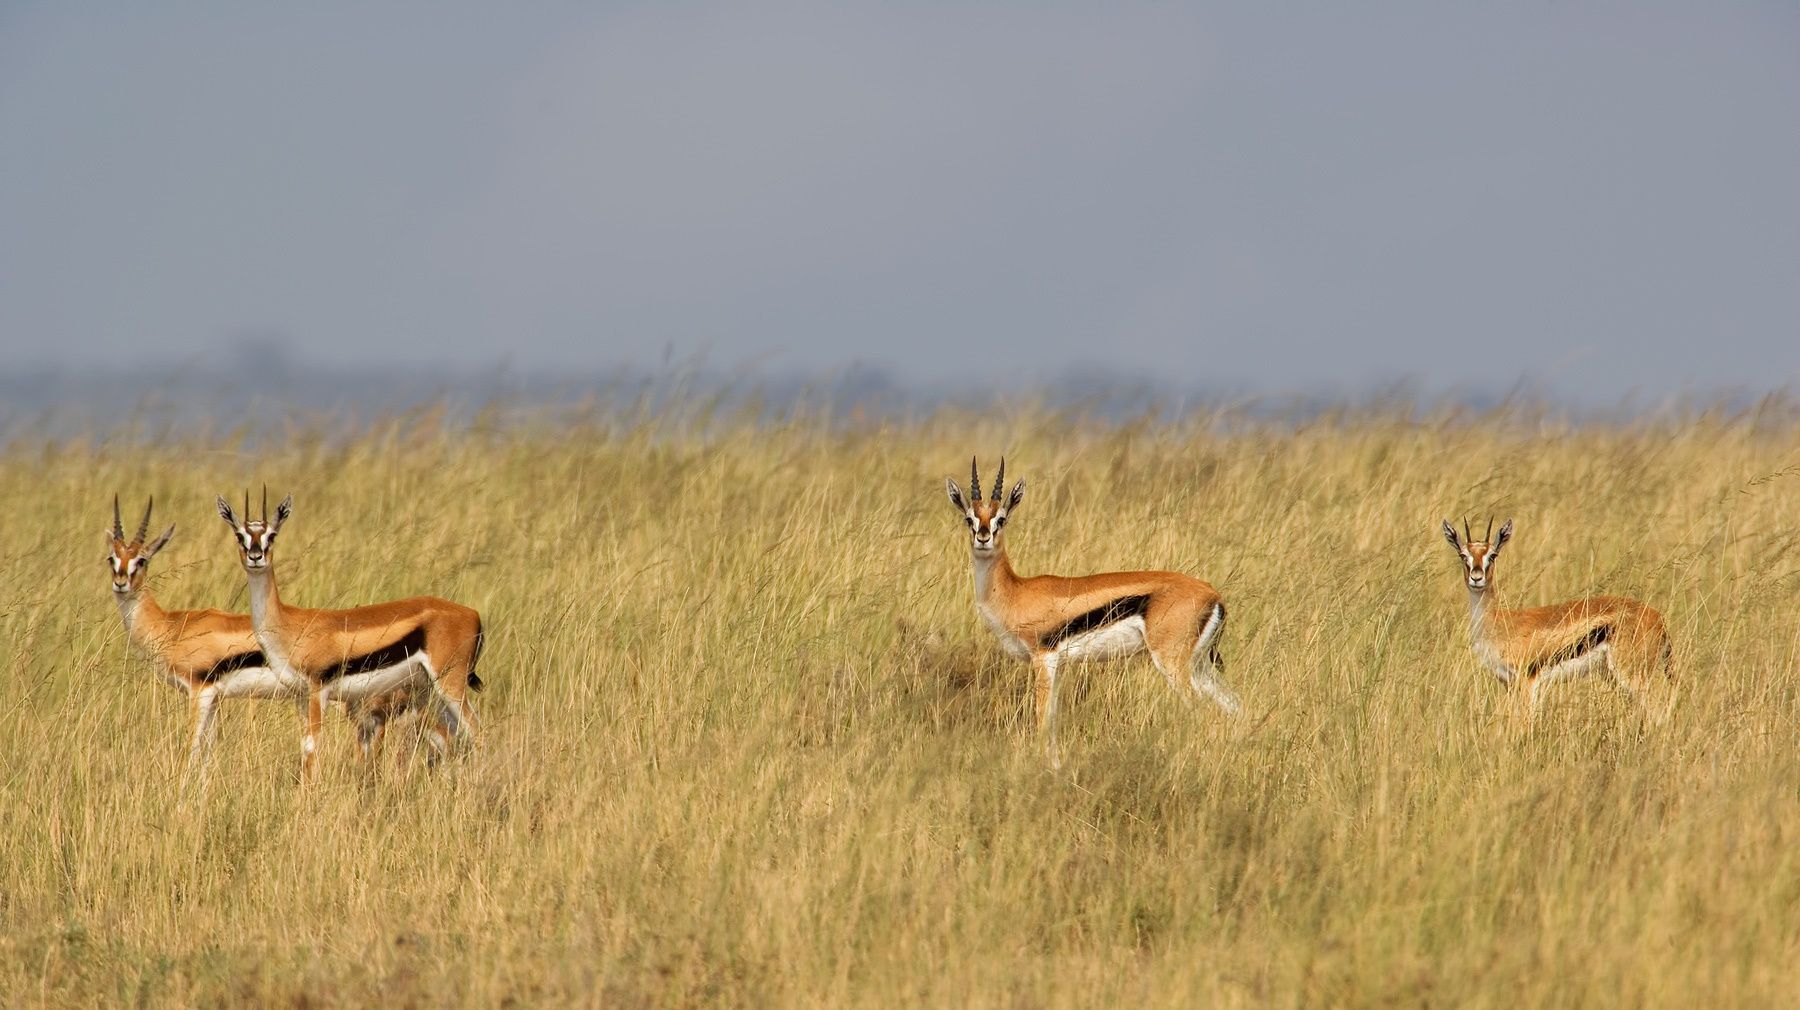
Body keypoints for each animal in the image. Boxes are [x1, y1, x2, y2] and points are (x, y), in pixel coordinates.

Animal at [217, 490, 485, 780]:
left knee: (476, 731)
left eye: (272, 535)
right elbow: (305, 747)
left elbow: (312, 748)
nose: (256, 557)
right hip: (432, 692)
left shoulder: (318, 691)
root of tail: (473, 615)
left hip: (450, 685)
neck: (290, 624)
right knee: (454, 737)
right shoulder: (301, 697)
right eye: (239, 535)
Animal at [945, 458, 1241, 768]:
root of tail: (1213, 594)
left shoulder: (1043, 659)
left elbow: (1043, 719)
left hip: (1172, 663)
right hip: (1200, 665)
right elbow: (1052, 718)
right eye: (969, 518)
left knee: (1200, 709)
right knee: (1235, 706)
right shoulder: (1057, 666)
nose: (983, 538)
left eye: (1001, 519)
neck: (1015, 591)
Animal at [1441, 517, 1674, 727]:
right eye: (1463, 555)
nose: (1476, 577)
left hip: (1631, 676)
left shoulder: (1528, 683)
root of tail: (1659, 618)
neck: (1499, 623)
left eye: (1493, 555)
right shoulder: (1509, 684)